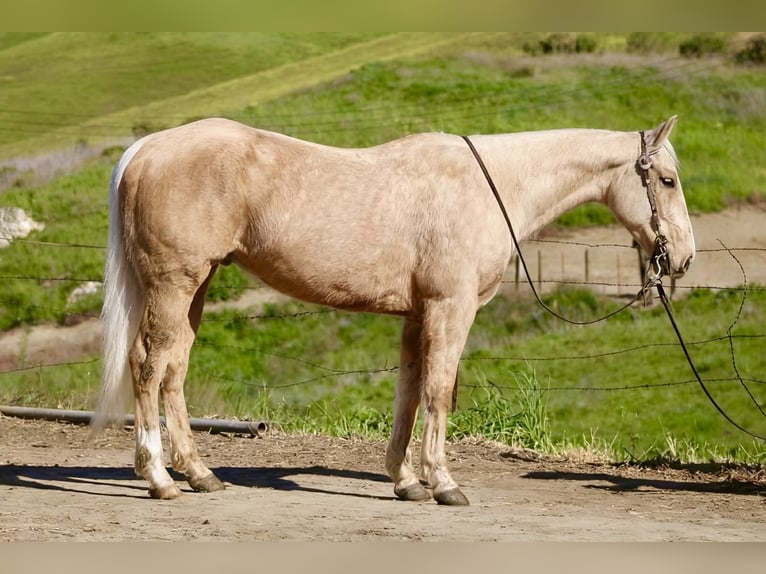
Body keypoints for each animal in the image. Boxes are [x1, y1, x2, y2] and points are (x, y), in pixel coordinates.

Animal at [94, 116, 695, 505]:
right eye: (666, 180)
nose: (684, 258)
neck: (488, 186)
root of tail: (146, 149)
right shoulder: (451, 309)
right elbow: (439, 391)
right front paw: (444, 484)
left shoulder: (417, 314)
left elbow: (409, 391)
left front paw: (406, 481)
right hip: (175, 284)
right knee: (148, 365)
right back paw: (160, 479)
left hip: (196, 287)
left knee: (174, 369)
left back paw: (200, 474)